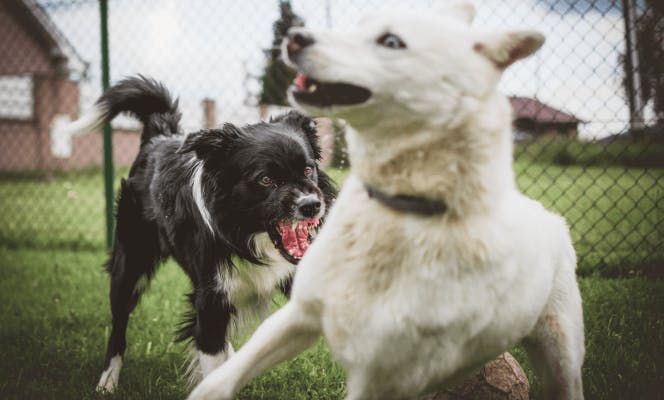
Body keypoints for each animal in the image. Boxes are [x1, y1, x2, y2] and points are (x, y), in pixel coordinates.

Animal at [60, 76, 334, 392]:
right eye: (265, 179)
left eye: (308, 170)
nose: (312, 205)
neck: (247, 235)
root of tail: (158, 136)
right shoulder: (211, 298)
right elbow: (211, 356)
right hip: (130, 264)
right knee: (119, 325)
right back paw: (108, 380)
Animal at [187, 3, 580, 400]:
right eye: (265, 180)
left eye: (391, 41)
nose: (295, 37)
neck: (392, 217)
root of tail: (547, 215)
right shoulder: (298, 314)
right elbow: (220, 376)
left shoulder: (384, 374)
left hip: (560, 350)